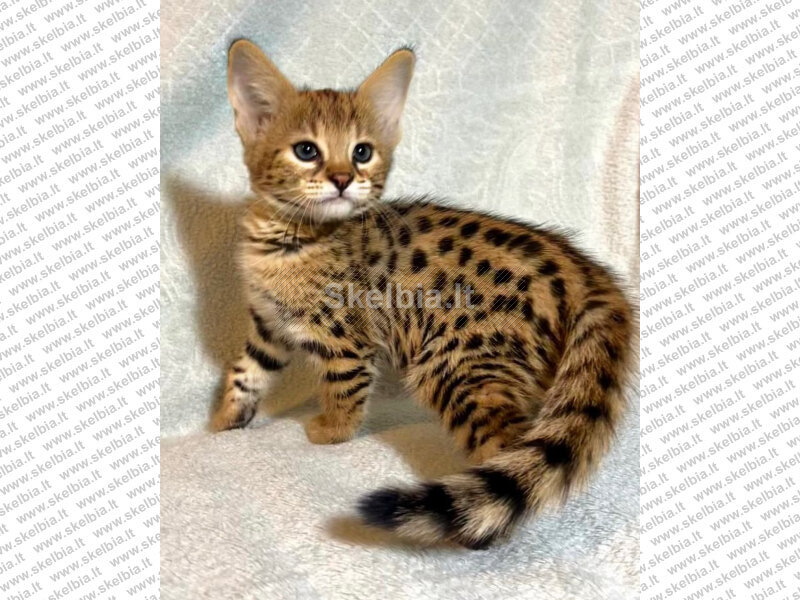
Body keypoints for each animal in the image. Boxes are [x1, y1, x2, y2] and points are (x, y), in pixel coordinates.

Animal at [211, 39, 635, 549]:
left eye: (362, 152)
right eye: (306, 150)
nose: (342, 179)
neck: (286, 238)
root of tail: (586, 270)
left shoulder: (345, 340)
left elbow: (343, 390)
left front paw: (331, 432)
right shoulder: (267, 325)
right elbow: (244, 372)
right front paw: (222, 421)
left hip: (457, 362)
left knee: (518, 452)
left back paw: (478, 520)